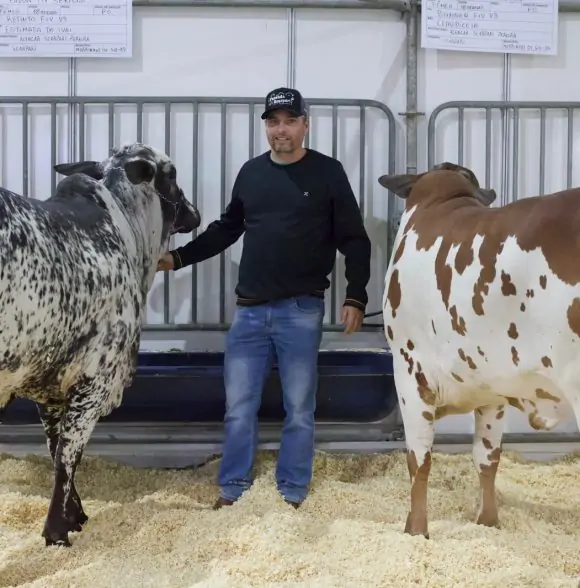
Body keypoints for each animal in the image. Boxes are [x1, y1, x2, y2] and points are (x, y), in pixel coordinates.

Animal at [0, 142, 202, 548]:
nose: (196, 213)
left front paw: (75, 516)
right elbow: (67, 457)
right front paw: (58, 531)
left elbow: (56, 451)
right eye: (171, 173)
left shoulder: (49, 389)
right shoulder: (95, 380)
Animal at [378, 163, 580, 540]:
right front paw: (488, 521)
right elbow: (487, 457)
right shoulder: (494, 389)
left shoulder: (409, 372)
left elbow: (418, 458)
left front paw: (415, 530)